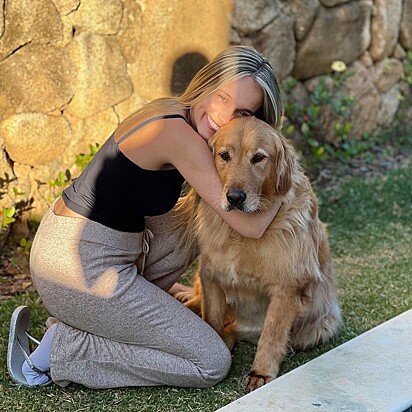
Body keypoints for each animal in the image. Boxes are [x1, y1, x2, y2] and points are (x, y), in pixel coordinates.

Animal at [177, 116, 342, 392]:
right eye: (224, 155)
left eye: (259, 158)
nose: (235, 197)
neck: (241, 234)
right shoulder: (210, 274)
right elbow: (211, 318)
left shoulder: (287, 289)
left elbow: (272, 334)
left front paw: (261, 373)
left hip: (321, 325)